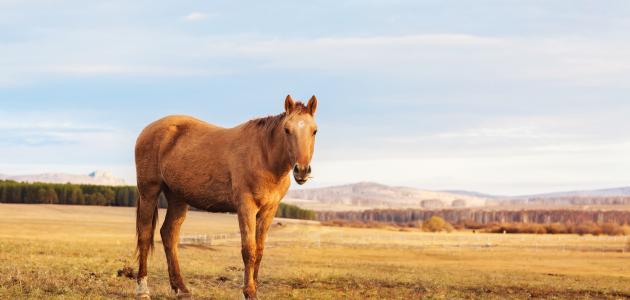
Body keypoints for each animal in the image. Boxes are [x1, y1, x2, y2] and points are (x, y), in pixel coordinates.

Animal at [134, 95, 320, 298]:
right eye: (287, 130)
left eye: (314, 131)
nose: (302, 171)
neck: (264, 156)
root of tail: (148, 130)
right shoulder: (246, 207)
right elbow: (249, 250)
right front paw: (249, 292)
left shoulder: (269, 210)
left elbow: (259, 250)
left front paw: (253, 288)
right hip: (149, 192)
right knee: (145, 234)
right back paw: (143, 289)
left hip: (177, 198)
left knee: (169, 234)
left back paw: (181, 288)